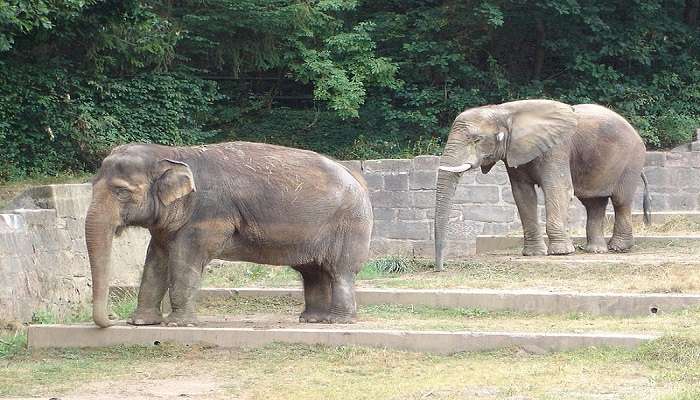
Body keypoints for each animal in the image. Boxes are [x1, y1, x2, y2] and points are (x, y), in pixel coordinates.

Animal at [85, 140, 374, 324]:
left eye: (121, 192)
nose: (112, 318)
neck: (171, 153)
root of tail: (357, 177)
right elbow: (155, 260)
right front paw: (140, 323)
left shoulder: (208, 215)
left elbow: (185, 259)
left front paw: (178, 325)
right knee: (313, 271)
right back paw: (312, 320)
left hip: (349, 225)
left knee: (340, 271)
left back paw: (338, 322)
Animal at [432, 100, 652, 268]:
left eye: (476, 140)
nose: (440, 268)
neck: (505, 112)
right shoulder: (515, 152)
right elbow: (522, 194)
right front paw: (533, 254)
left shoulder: (556, 148)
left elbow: (558, 189)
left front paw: (561, 253)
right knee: (593, 203)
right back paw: (596, 250)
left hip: (630, 161)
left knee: (620, 201)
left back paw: (618, 248)